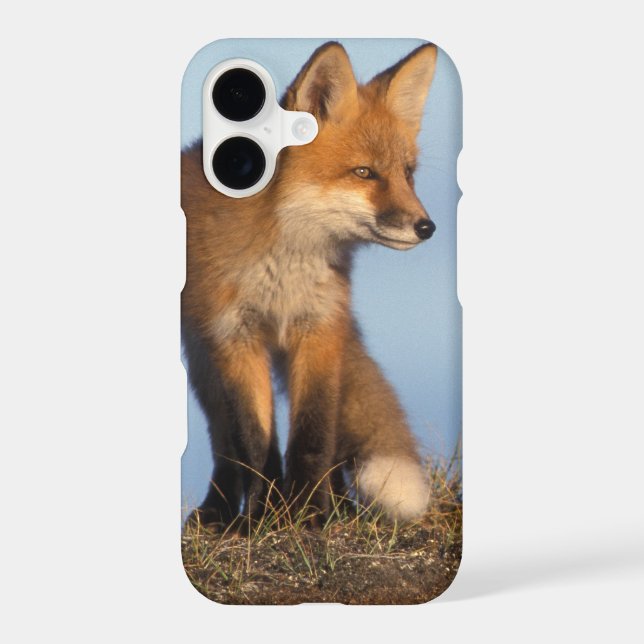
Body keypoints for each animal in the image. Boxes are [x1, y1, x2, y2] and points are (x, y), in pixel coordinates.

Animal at [182, 41, 438, 526]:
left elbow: (314, 435)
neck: (285, 264)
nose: (426, 227)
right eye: (364, 173)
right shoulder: (234, 336)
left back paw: (338, 505)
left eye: (408, 174)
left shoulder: (320, 327)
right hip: (203, 362)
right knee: (224, 443)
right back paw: (220, 513)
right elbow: (254, 441)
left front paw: (310, 514)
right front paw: (264, 520)